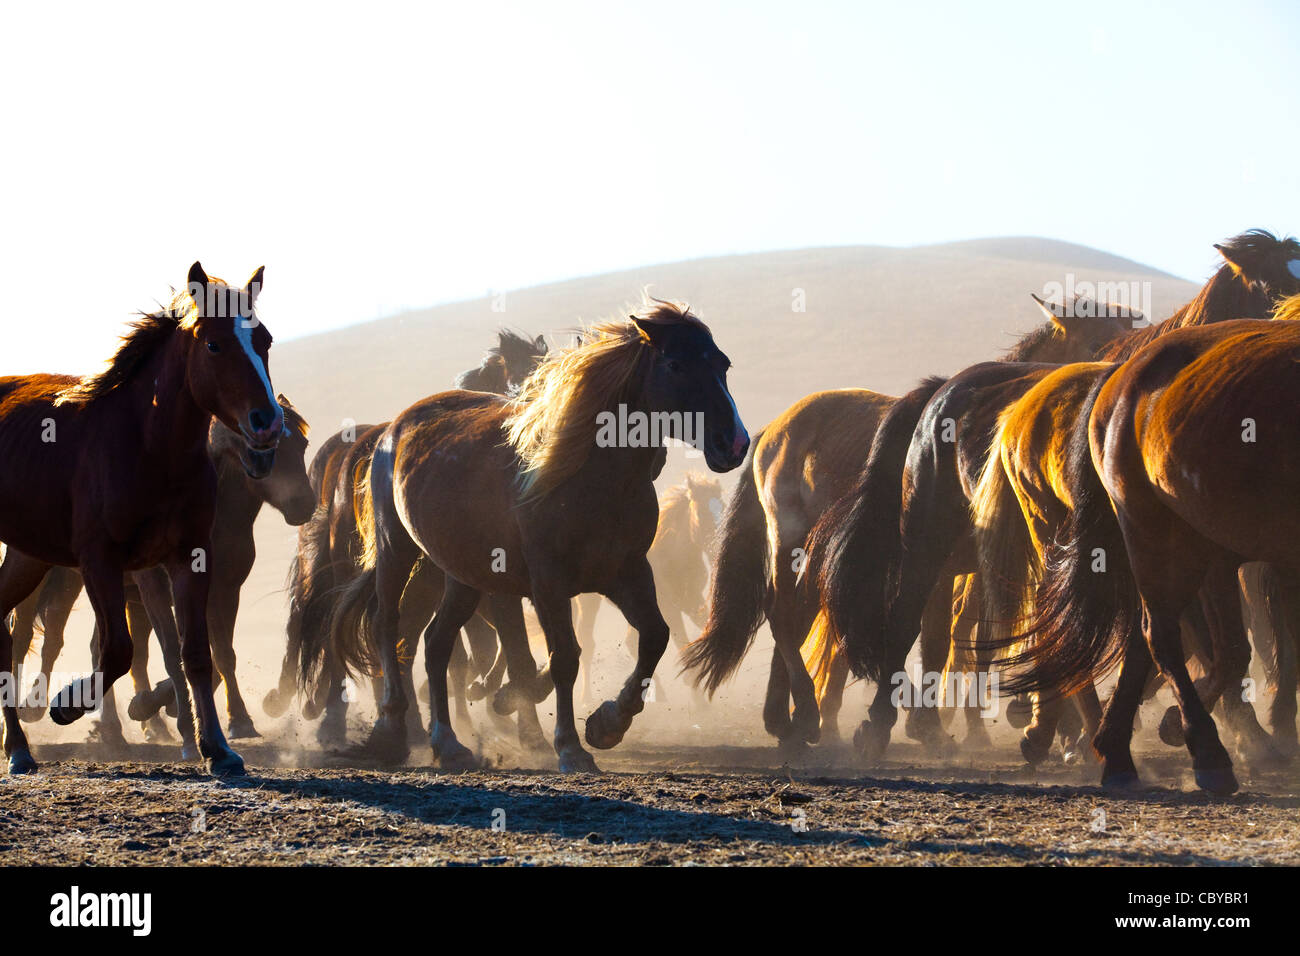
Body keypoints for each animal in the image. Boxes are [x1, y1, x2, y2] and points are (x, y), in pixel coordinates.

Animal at [0, 262, 283, 776]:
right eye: (214, 344)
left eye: (264, 340)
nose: (267, 423)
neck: (147, 446)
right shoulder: (101, 562)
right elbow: (118, 649)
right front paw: (66, 705)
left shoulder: (189, 556)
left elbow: (195, 653)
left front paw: (218, 749)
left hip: (26, 555)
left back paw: (19, 749)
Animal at [324, 300, 748, 772]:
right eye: (675, 364)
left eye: (722, 364)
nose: (734, 443)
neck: (594, 476)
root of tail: (393, 429)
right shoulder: (548, 583)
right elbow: (561, 657)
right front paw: (568, 746)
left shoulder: (628, 572)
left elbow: (653, 636)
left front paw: (607, 724)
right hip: (396, 549)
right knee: (388, 626)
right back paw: (393, 731)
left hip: (464, 577)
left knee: (436, 644)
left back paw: (448, 744)